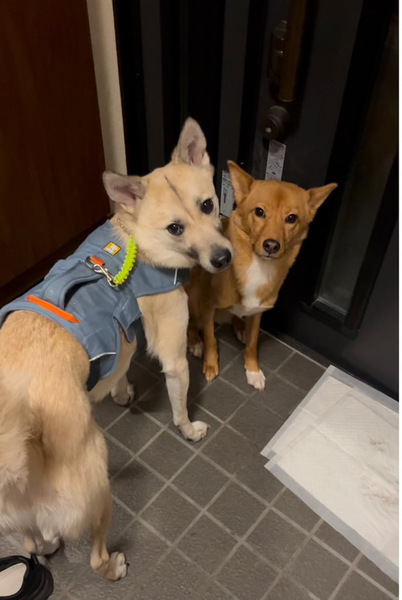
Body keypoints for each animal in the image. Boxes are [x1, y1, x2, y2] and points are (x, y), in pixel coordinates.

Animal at [0, 118, 232, 580]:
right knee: (94, 554)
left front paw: (122, 394)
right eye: (175, 228)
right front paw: (188, 428)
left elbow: (121, 367)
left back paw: (47, 545)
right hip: (97, 484)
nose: (223, 258)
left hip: (21, 519)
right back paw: (114, 566)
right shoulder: (172, 355)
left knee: (34, 542)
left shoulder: (123, 335)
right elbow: (180, 402)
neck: (135, 240)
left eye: (208, 204)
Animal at [187, 160, 337, 390]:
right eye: (259, 212)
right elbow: (211, 339)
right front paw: (210, 366)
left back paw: (240, 328)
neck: (258, 266)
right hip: (194, 296)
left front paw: (253, 370)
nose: (271, 246)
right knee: (192, 324)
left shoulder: (258, 313)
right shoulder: (209, 306)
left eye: (291, 218)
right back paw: (195, 341)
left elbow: (253, 343)